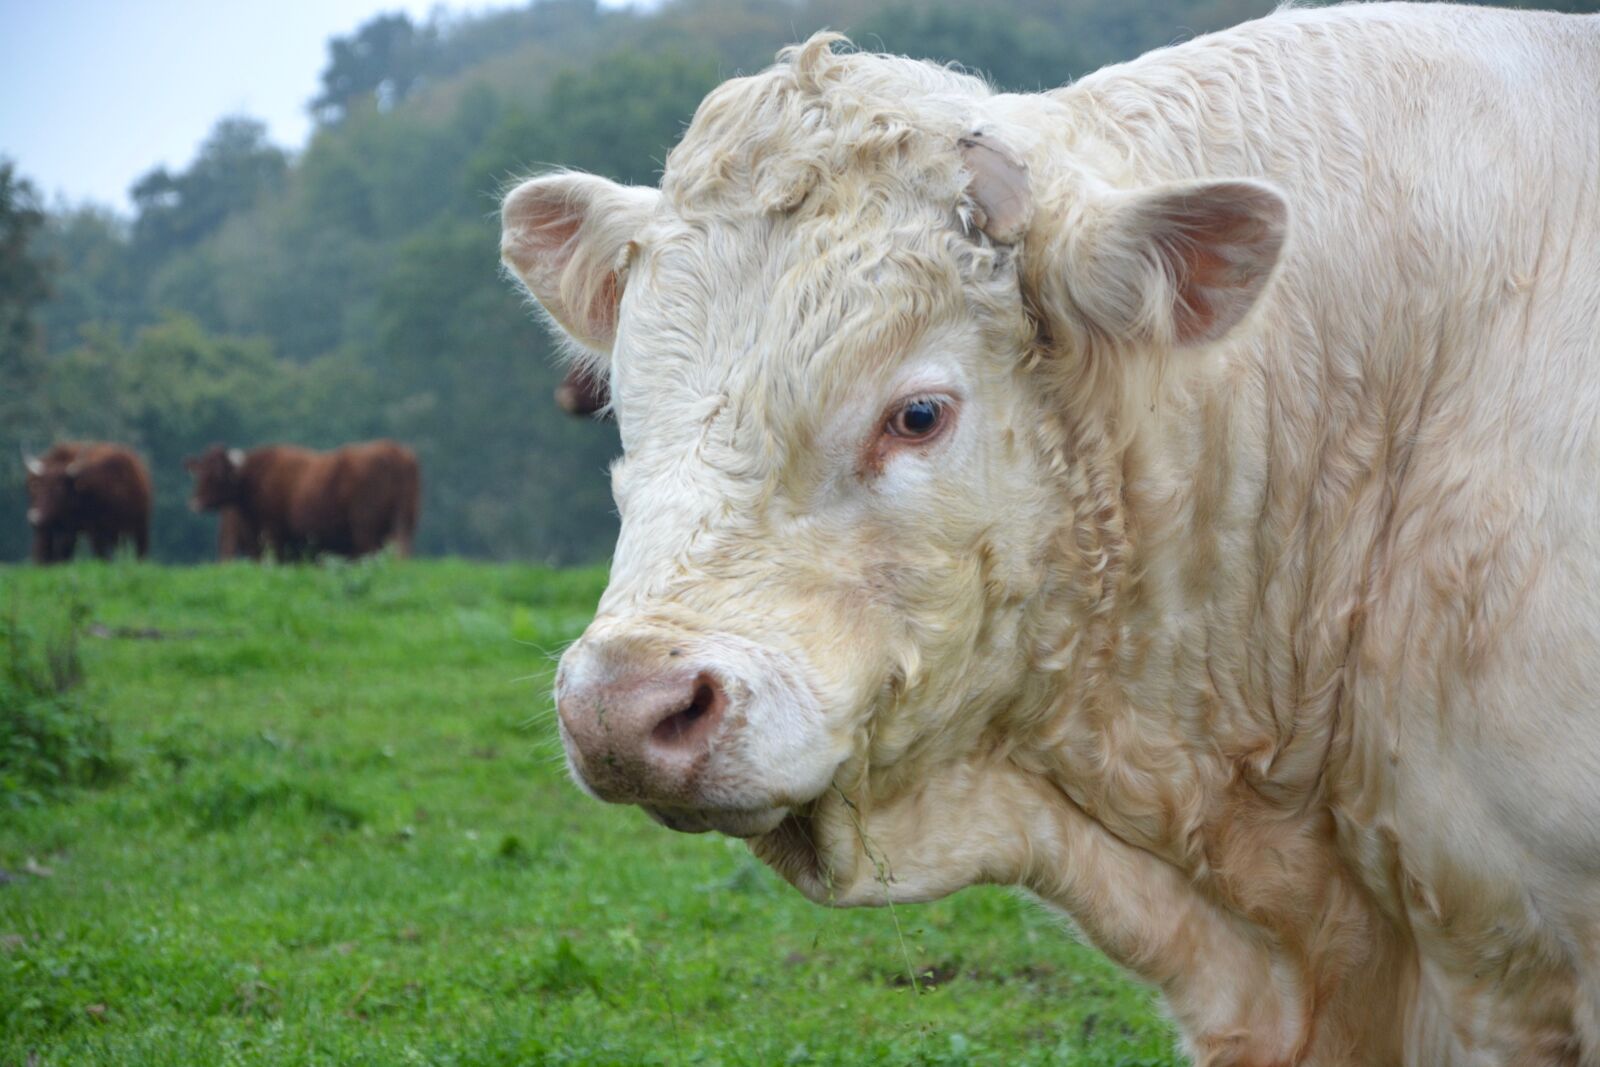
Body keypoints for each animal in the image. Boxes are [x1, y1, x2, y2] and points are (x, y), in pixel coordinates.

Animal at [22, 442, 151, 564]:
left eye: (59, 488)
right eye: (38, 486)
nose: (35, 517)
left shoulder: (96, 530)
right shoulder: (55, 532)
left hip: (140, 527)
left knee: (140, 551)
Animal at [184, 441, 419, 561]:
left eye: (216, 475)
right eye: (201, 471)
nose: (195, 502)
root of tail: (393, 450)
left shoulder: (272, 537)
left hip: (366, 530)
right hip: (403, 523)